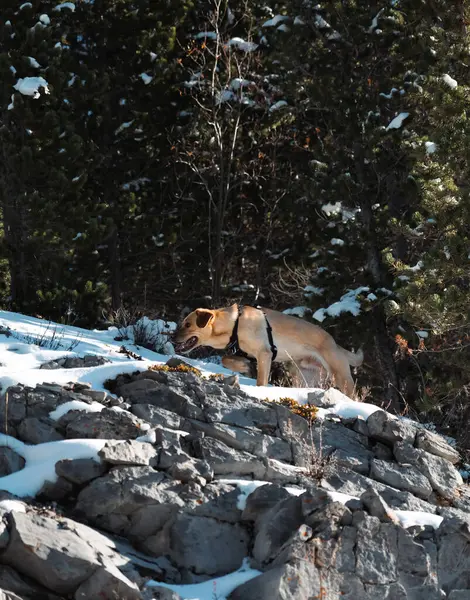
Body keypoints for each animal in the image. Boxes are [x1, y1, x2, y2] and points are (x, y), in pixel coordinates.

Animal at [172, 302, 364, 396]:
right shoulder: (247, 354)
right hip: (302, 377)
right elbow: (225, 359)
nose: (171, 338)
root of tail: (335, 344)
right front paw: (243, 367)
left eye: (188, 324)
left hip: (340, 376)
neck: (234, 325)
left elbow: (260, 381)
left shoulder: (264, 354)